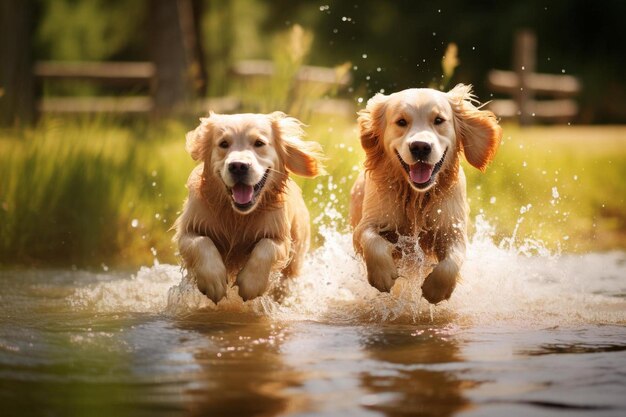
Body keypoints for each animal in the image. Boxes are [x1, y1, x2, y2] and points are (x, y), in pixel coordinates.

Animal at [174, 111, 324, 302]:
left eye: (259, 143)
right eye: (223, 144)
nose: (238, 166)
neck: (237, 216)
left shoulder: (282, 237)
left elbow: (267, 246)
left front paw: (251, 282)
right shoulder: (187, 230)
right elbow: (201, 241)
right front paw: (213, 280)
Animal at [348, 84, 500, 304]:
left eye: (439, 120)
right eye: (401, 122)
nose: (420, 147)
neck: (416, 197)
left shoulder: (452, 230)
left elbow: (452, 261)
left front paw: (436, 289)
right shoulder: (369, 222)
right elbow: (371, 239)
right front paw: (382, 275)